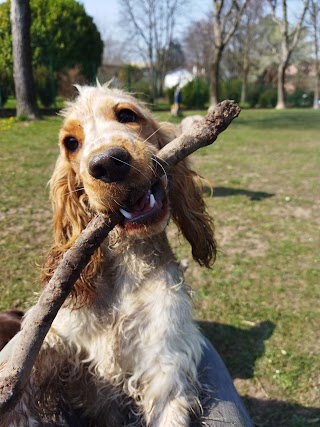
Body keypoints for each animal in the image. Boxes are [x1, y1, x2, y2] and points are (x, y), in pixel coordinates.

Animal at [1, 84, 215, 427]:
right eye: (71, 143)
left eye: (127, 115)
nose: (108, 163)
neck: (125, 265)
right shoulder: (60, 339)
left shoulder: (167, 364)